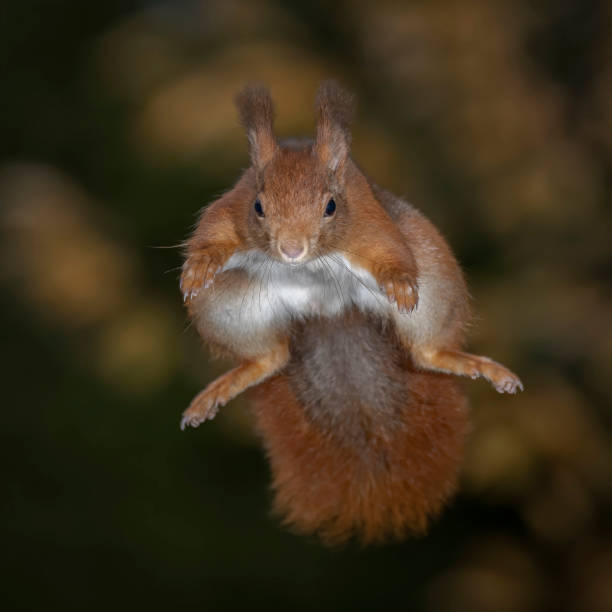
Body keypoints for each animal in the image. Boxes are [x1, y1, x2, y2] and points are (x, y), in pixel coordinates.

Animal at [179, 81, 524, 544]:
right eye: (258, 206)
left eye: (331, 206)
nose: (291, 250)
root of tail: (330, 315)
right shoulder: (228, 212)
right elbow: (211, 237)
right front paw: (196, 270)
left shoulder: (371, 225)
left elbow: (391, 255)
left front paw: (399, 285)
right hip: (228, 308)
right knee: (270, 357)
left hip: (435, 286)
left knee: (426, 352)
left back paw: (473, 363)